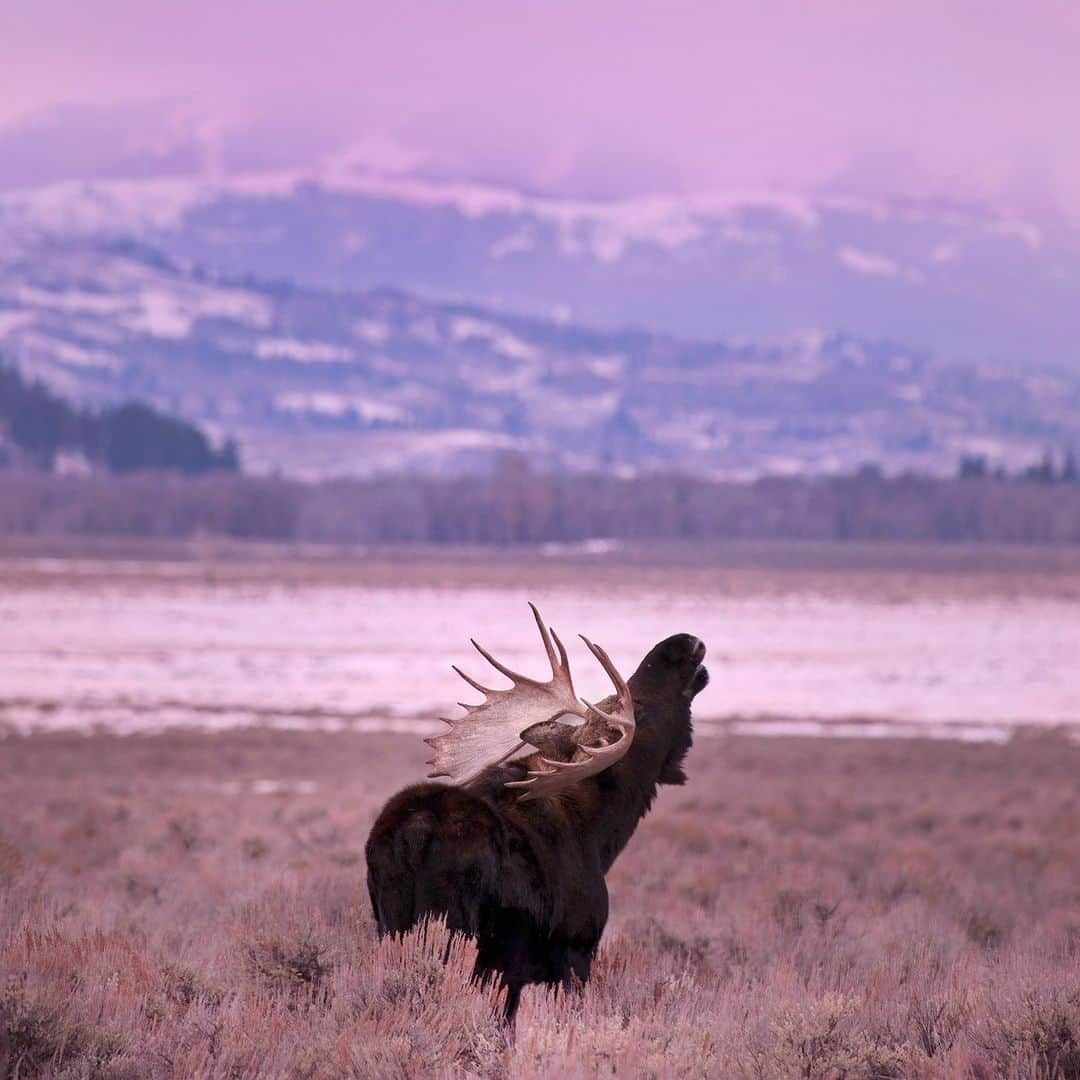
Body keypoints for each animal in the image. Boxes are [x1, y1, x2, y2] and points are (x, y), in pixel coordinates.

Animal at [367, 604, 712, 1015]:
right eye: (637, 709)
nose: (681, 642)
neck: (601, 834)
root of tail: (417, 831)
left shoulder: (513, 976)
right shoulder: (574, 954)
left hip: (389, 925)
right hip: (453, 931)